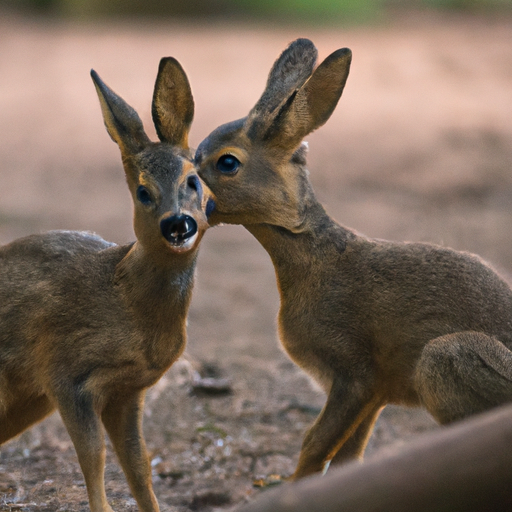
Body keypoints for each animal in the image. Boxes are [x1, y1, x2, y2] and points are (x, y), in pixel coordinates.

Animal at [0, 57, 212, 512]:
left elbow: (139, 465)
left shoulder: (128, 391)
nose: (178, 224)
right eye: (143, 191)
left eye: (193, 180)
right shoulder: (65, 374)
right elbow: (93, 457)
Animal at [195, 39, 512, 480]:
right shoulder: (370, 395)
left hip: (445, 359)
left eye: (227, 162)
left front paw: (290, 487)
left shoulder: (354, 377)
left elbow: (315, 445)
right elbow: (347, 457)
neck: (312, 252)